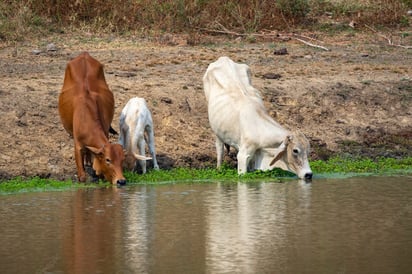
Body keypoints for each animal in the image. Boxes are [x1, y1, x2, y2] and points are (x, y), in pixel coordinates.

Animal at [57, 52, 126, 184]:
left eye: (122, 160)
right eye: (108, 160)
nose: (121, 181)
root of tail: (84, 54)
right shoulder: (78, 145)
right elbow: (82, 176)